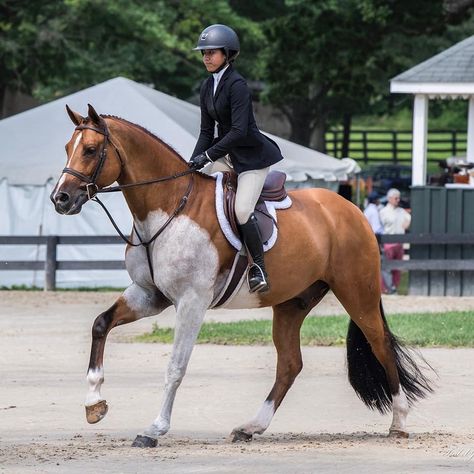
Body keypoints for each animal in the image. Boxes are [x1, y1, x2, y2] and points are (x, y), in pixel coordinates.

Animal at [49, 103, 434, 448]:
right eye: (67, 148)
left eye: (90, 150)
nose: (60, 198)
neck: (169, 207)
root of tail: (352, 210)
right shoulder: (148, 294)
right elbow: (101, 324)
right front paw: (94, 404)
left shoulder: (191, 301)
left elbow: (175, 366)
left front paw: (154, 429)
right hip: (292, 303)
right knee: (290, 364)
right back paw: (250, 427)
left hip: (357, 293)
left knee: (380, 345)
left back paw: (399, 423)